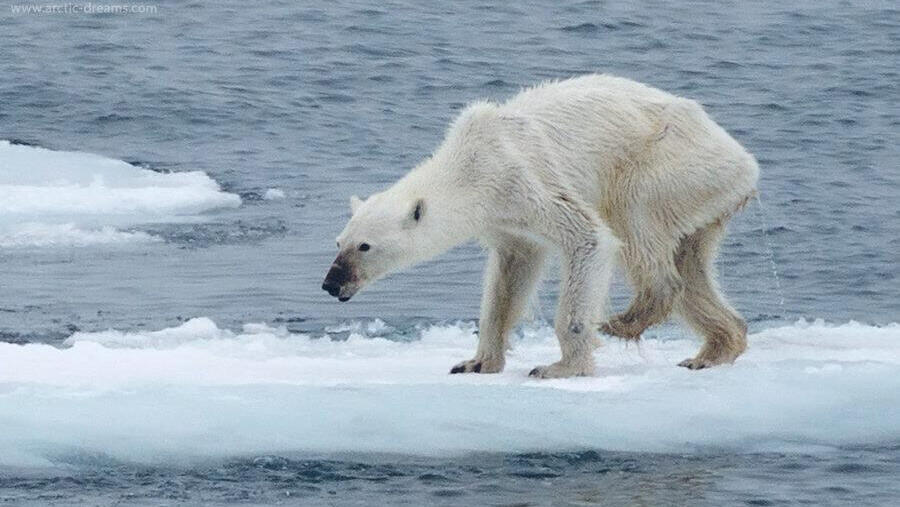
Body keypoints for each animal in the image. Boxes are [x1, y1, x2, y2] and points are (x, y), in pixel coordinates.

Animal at [324, 74, 760, 378]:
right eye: (338, 242)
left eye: (364, 246)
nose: (331, 283)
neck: (471, 164)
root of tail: (745, 161)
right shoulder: (504, 219)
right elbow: (510, 276)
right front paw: (476, 362)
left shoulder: (523, 179)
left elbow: (589, 238)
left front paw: (560, 367)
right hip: (704, 197)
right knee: (691, 265)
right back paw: (713, 350)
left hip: (670, 165)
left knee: (635, 219)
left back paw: (626, 320)